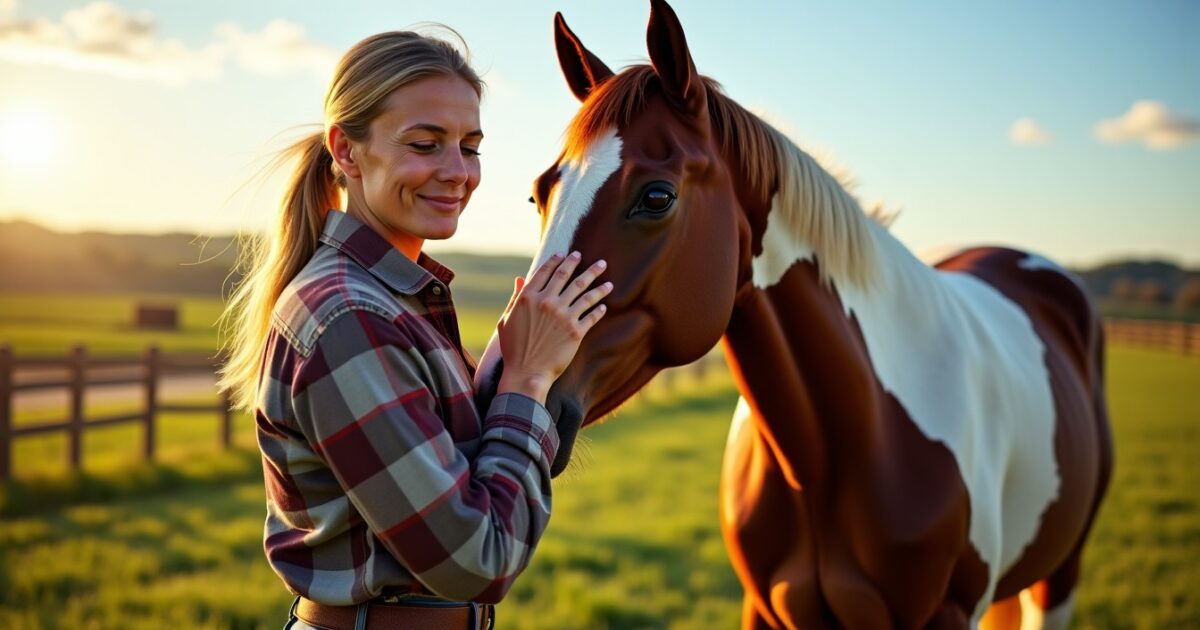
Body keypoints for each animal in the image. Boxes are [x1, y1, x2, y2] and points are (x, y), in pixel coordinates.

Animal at [474, 1, 1113, 627]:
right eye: (539, 193)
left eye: (656, 197)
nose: (497, 389)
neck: (841, 451)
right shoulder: (763, 607)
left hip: (1062, 573)